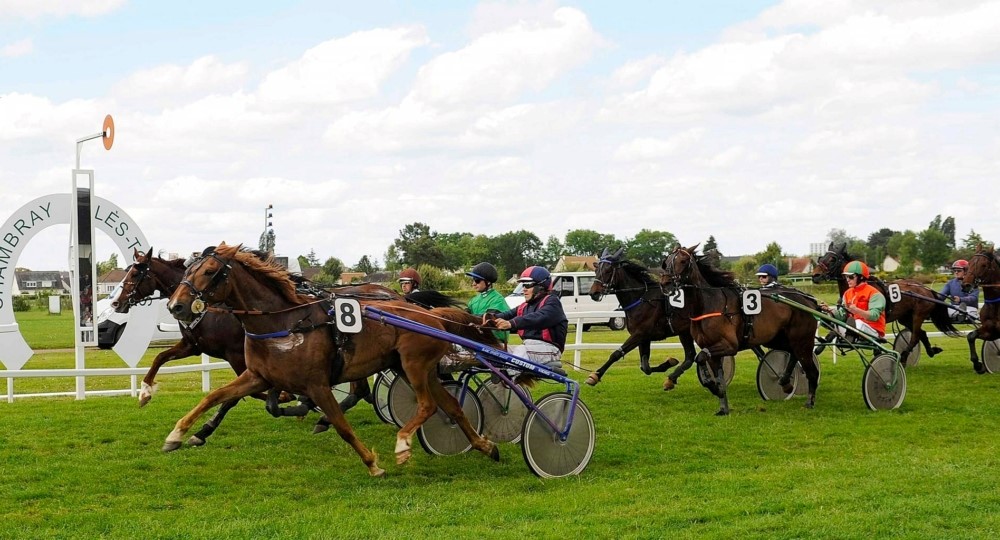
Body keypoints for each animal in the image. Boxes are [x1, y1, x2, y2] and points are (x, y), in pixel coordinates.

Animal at [167, 243, 504, 474]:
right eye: (187, 271)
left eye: (209, 271)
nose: (176, 306)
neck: (285, 322)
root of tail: (429, 315)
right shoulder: (257, 376)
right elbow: (215, 397)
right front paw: (177, 435)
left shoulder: (316, 384)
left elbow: (342, 426)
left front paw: (372, 463)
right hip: (412, 368)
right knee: (452, 406)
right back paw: (485, 446)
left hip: (414, 365)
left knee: (427, 405)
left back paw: (403, 443)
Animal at [584, 247, 696, 390]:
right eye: (596, 270)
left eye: (608, 270)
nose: (594, 293)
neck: (641, 299)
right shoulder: (644, 338)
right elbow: (645, 367)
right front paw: (669, 362)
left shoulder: (639, 334)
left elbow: (616, 354)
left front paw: (595, 375)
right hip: (684, 332)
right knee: (690, 357)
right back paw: (672, 378)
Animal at [664, 245, 820, 414]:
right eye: (666, 261)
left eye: (683, 261)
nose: (666, 283)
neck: (708, 304)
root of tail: (809, 301)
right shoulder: (710, 348)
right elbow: (710, 368)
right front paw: (723, 406)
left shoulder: (729, 345)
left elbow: (700, 357)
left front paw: (715, 389)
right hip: (778, 340)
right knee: (792, 353)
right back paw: (785, 381)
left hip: (801, 340)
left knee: (811, 370)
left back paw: (809, 402)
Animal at [808, 243, 956, 364]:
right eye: (821, 258)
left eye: (832, 259)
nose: (815, 276)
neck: (858, 286)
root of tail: (926, 289)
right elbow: (834, 330)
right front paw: (818, 348)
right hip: (905, 317)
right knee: (922, 333)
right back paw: (931, 351)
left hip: (918, 315)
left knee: (915, 337)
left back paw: (903, 356)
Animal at [960, 246, 1000, 376]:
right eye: (969, 263)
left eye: (984, 265)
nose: (966, 285)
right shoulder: (991, 330)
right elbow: (971, 336)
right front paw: (978, 365)